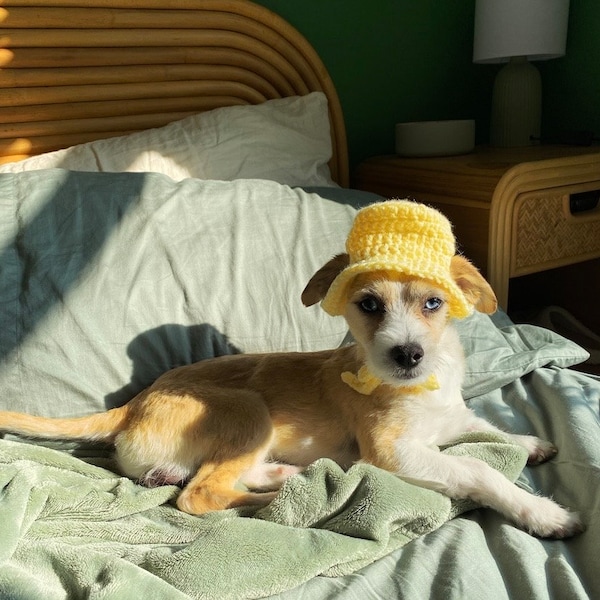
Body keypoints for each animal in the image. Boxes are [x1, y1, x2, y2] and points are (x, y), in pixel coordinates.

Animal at [0, 202, 580, 540]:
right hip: (246, 411)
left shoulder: (452, 418)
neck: (427, 385)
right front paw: (542, 512)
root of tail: (131, 405)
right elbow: (480, 469)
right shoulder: (394, 453)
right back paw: (283, 502)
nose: (407, 355)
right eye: (369, 305)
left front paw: (530, 442)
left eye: (434, 303)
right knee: (199, 495)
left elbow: (488, 429)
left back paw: (284, 478)